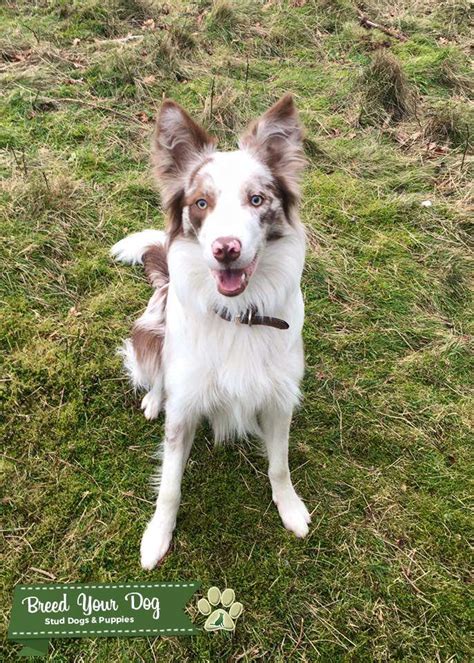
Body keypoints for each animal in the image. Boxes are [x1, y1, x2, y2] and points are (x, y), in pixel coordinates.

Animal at [112, 94, 312, 572]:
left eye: (257, 199)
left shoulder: (280, 398)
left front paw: (290, 508)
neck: (238, 315)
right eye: (201, 203)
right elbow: (170, 483)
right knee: (157, 376)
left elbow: (279, 465)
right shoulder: (184, 407)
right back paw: (153, 399)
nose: (226, 249)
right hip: (152, 335)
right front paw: (157, 537)